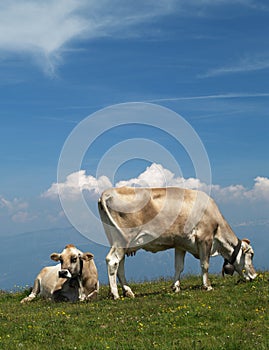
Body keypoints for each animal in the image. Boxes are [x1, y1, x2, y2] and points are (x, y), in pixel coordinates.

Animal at [98, 187, 255, 300]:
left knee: (120, 264)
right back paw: (115, 294)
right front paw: (207, 286)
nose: (255, 276)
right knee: (112, 261)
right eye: (251, 254)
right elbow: (205, 264)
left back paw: (128, 291)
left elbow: (179, 266)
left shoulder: (180, 244)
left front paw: (176, 287)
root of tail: (107, 193)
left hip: (118, 240)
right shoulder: (205, 238)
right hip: (123, 239)